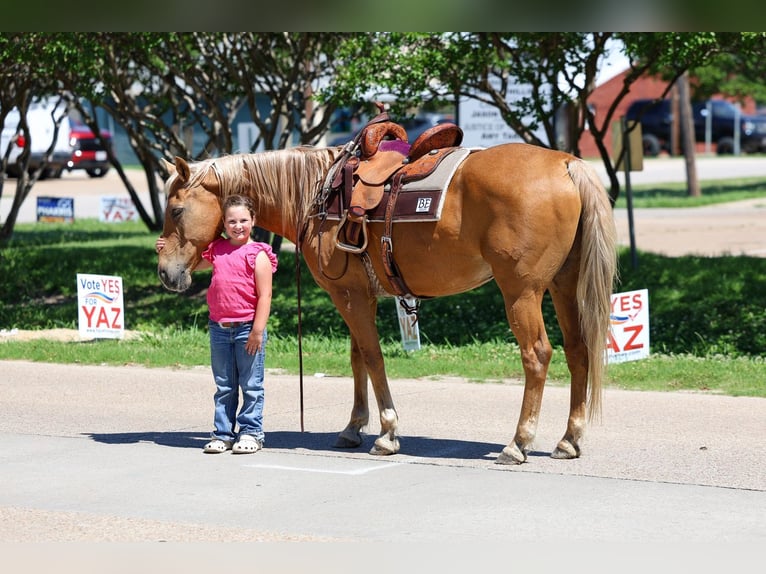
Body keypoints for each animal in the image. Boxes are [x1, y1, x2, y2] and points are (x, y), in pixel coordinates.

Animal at [157, 141, 617, 465]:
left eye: (177, 210)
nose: (165, 272)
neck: (316, 193)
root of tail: (565, 163)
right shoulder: (359, 294)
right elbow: (357, 357)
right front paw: (353, 428)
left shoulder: (349, 296)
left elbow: (373, 357)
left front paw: (387, 433)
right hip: (562, 284)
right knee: (578, 351)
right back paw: (569, 439)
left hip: (521, 292)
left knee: (537, 354)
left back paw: (519, 442)